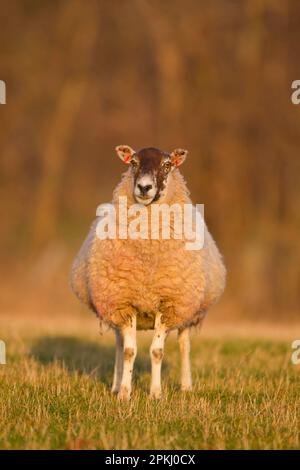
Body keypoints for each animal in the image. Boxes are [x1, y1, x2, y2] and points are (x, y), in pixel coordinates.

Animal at [70, 145, 225, 398]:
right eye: (133, 162)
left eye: (167, 165)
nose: (144, 187)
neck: (147, 253)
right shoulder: (124, 302)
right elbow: (129, 351)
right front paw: (124, 393)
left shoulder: (169, 303)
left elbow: (156, 351)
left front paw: (155, 394)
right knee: (119, 344)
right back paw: (115, 385)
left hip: (187, 309)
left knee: (184, 343)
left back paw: (186, 386)